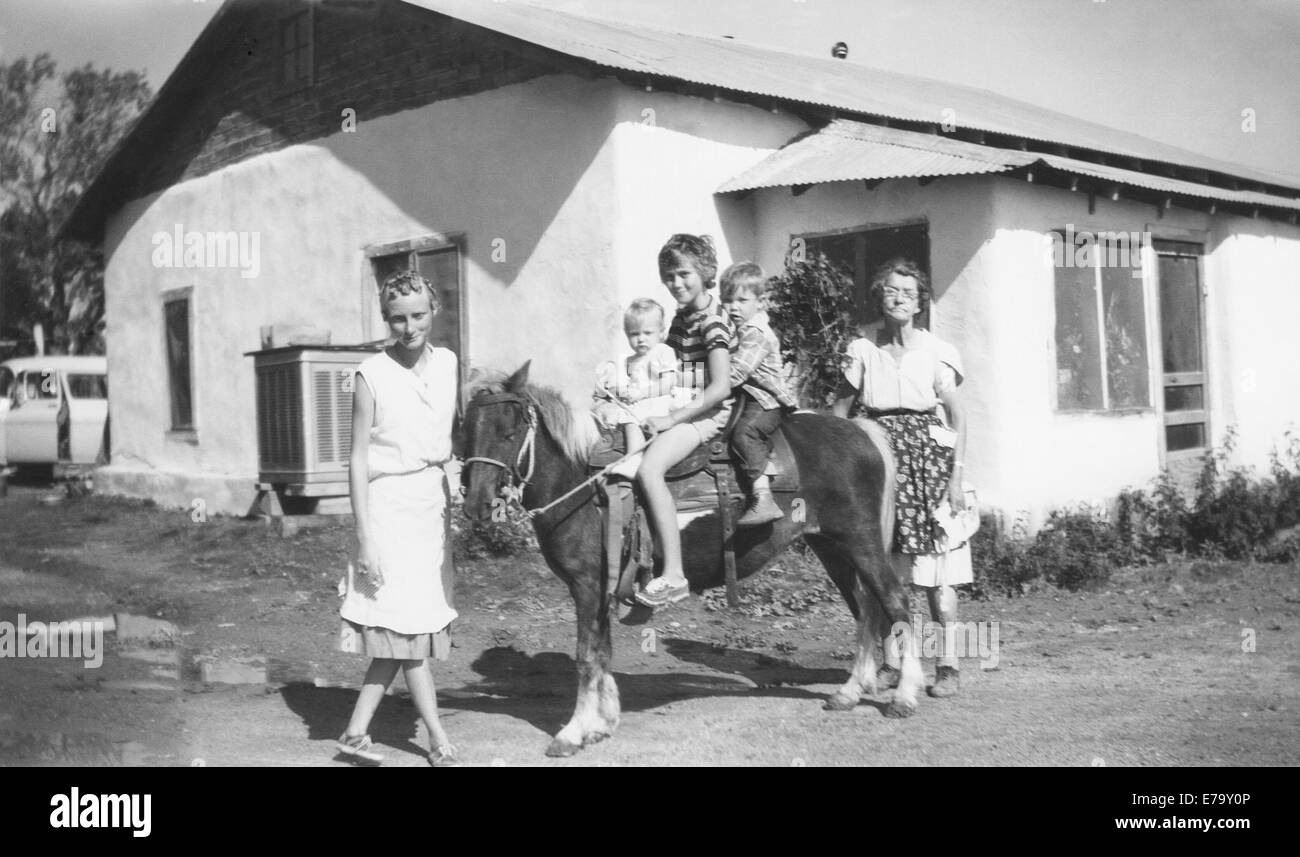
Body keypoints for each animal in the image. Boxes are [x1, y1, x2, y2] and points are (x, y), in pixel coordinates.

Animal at [460, 361, 925, 759]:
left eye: (510, 430)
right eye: (465, 429)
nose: (477, 505)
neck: (584, 484)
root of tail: (858, 429)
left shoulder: (587, 585)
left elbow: (586, 655)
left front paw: (573, 732)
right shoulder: (601, 588)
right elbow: (603, 651)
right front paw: (601, 724)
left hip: (861, 542)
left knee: (895, 604)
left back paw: (904, 696)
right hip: (832, 548)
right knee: (865, 610)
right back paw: (849, 692)